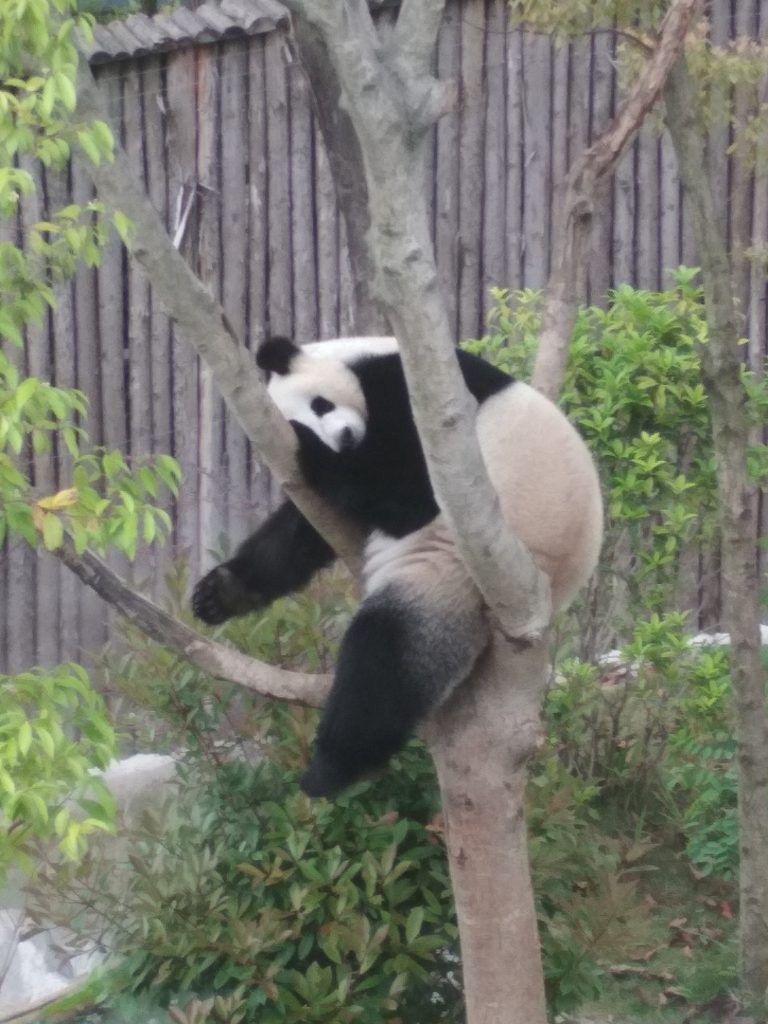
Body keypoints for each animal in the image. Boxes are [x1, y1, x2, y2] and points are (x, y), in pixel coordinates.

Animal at [192, 335, 603, 798]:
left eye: (320, 405)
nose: (344, 439)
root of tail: (558, 583)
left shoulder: (413, 399)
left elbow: (408, 495)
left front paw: (310, 444)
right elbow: (303, 531)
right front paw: (221, 593)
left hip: (460, 565)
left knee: (385, 650)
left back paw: (333, 768)